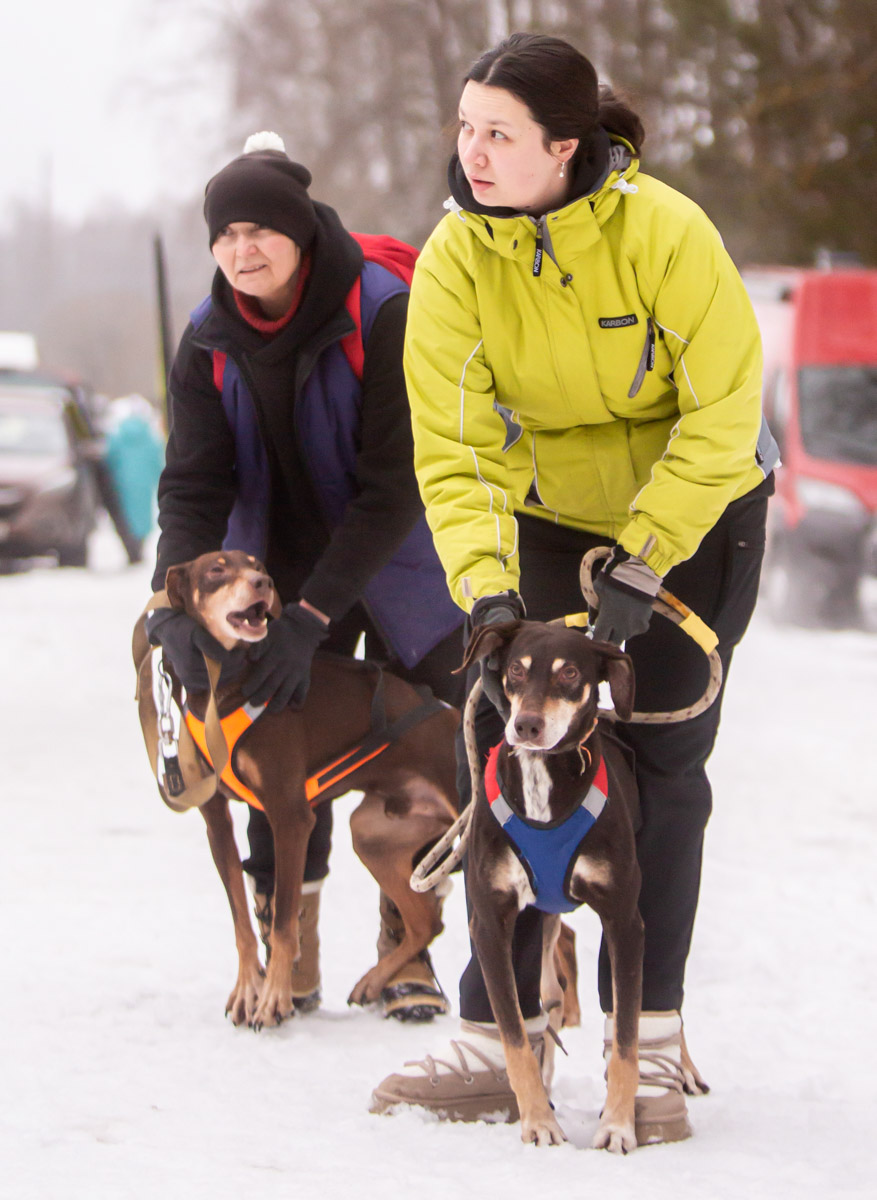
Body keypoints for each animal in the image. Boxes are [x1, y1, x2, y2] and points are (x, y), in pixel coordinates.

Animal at [145, 552, 460, 1032]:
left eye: (256, 566)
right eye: (217, 568)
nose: (262, 582)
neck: (231, 683)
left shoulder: (290, 815)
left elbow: (283, 925)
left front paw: (273, 999)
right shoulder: (216, 822)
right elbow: (242, 920)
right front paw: (247, 990)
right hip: (373, 833)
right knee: (427, 922)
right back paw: (374, 982)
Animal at [460, 619, 643, 1152]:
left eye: (570, 674)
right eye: (517, 670)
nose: (526, 725)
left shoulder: (624, 921)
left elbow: (626, 1039)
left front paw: (617, 1126)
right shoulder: (490, 923)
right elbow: (515, 1037)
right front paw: (538, 1121)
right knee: (547, 999)